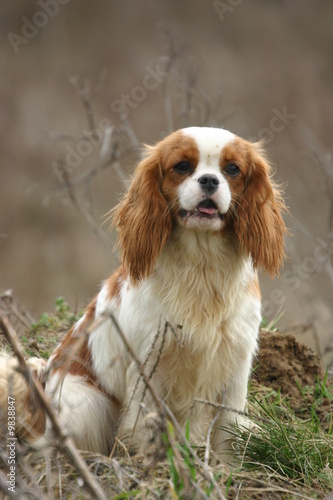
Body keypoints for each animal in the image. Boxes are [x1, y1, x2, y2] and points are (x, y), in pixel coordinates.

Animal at [0, 128, 286, 460]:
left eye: (232, 169)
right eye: (182, 166)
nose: (209, 180)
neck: (201, 264)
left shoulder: (236, 361)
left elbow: (227, 429)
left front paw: (225, 466)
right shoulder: (150, 363)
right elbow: (144, 422)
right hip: (89, 402)